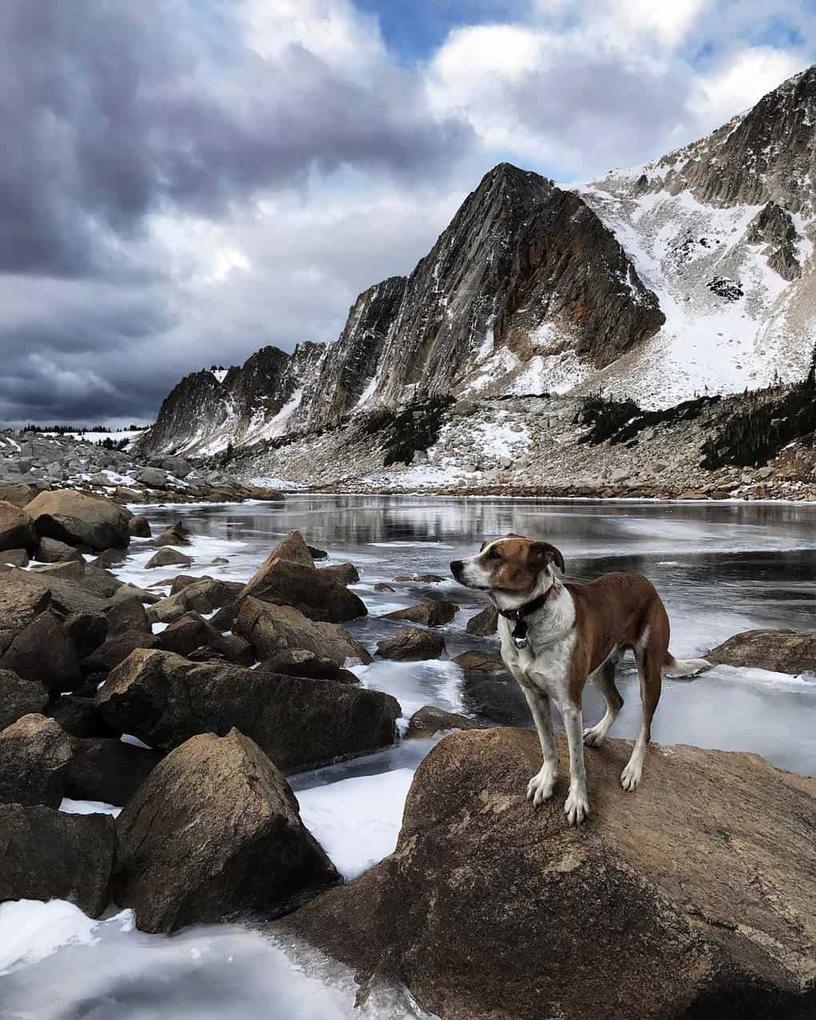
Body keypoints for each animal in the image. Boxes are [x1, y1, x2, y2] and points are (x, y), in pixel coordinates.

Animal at [448, 538, 709, 824]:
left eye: (495, 555)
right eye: (482, 547)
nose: (453, 564)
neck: (526, 617)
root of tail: (645, 582)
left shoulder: (569, 705)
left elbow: (576, 762)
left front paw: (577, 801)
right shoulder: (533, 695)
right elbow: (547, 745)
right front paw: (546, 781)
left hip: (648, 670)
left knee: (646, 728)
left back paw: (633, 770)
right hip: (600, 669)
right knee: (617, 701)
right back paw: (598, 733)